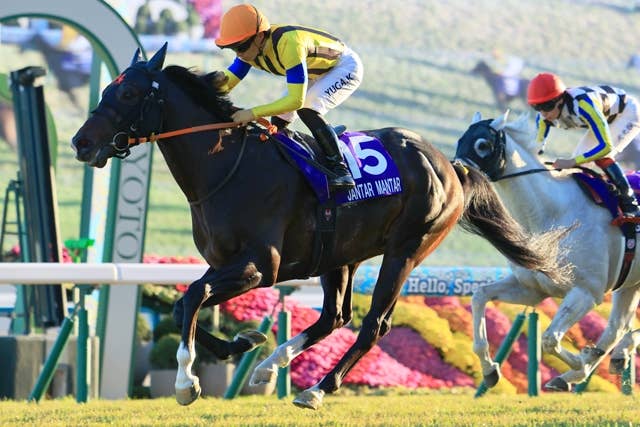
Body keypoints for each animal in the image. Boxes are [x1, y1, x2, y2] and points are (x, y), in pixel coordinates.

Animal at [71, 44, 568, 409]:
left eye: (130, 94)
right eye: (108, 89)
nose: (81, 142)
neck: (224, 168)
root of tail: (450, 164)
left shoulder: (260, 267)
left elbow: (193, 296)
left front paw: (186, 383)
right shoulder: (224, 263)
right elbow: (182, 304)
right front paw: (241, 343)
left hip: (406, 249)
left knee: (373, 325)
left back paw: (316, 389)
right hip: (341, 255)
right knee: (334, 316)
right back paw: (268, 366)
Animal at [454, 111, 640, 392]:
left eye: (482, 145)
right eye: (460, 140)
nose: (455, 173)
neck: (550, 214)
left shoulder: (587, 292)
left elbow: (550, 338)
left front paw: (581, 362)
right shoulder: (532, 288)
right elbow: (479, 296)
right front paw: (489, 369)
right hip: (630, 283)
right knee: (617, 327)